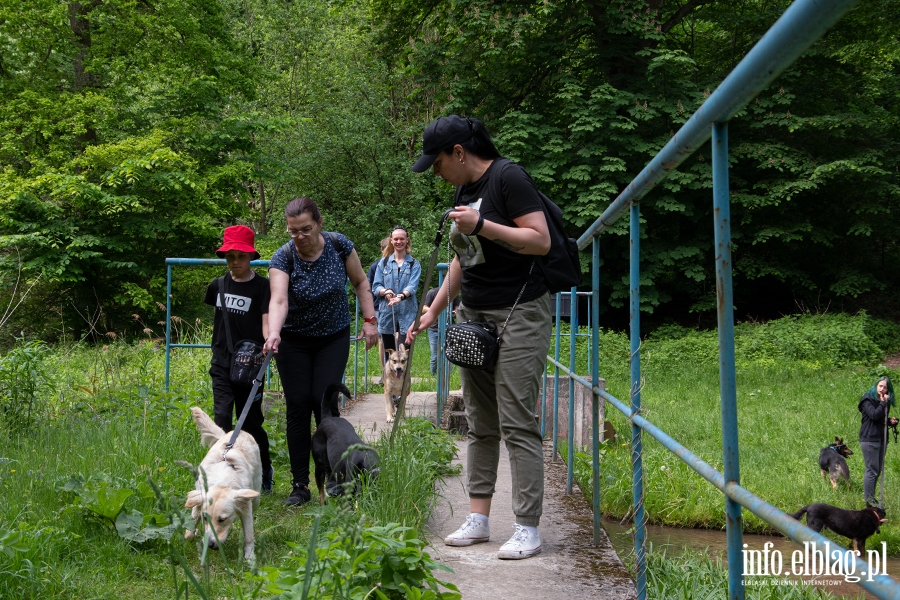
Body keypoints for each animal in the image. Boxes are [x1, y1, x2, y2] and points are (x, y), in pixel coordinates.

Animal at [183, 406, 260, 564]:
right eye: (205, 518)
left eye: (222, 519)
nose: (211, 544)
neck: (221, 482)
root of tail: (238, 432)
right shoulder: (198, 496)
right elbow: (190, 529)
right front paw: (194, 532)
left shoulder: (246, 507)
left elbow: (249, 536)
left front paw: (249, 558)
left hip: (256, 496)